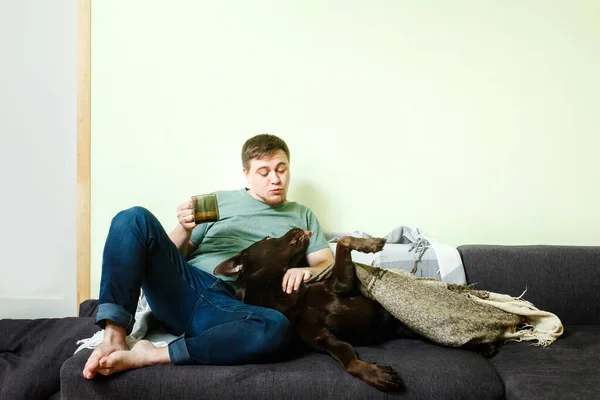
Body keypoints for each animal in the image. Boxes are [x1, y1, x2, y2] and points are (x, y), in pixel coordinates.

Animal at [213, 228, 406, 390]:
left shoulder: (340, 285)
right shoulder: (324, 338)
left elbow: (343, 240)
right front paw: (375, 374)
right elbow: (349, 360)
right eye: (267, 238)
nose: (294, 227)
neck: (279, 296)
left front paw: (371, 243)